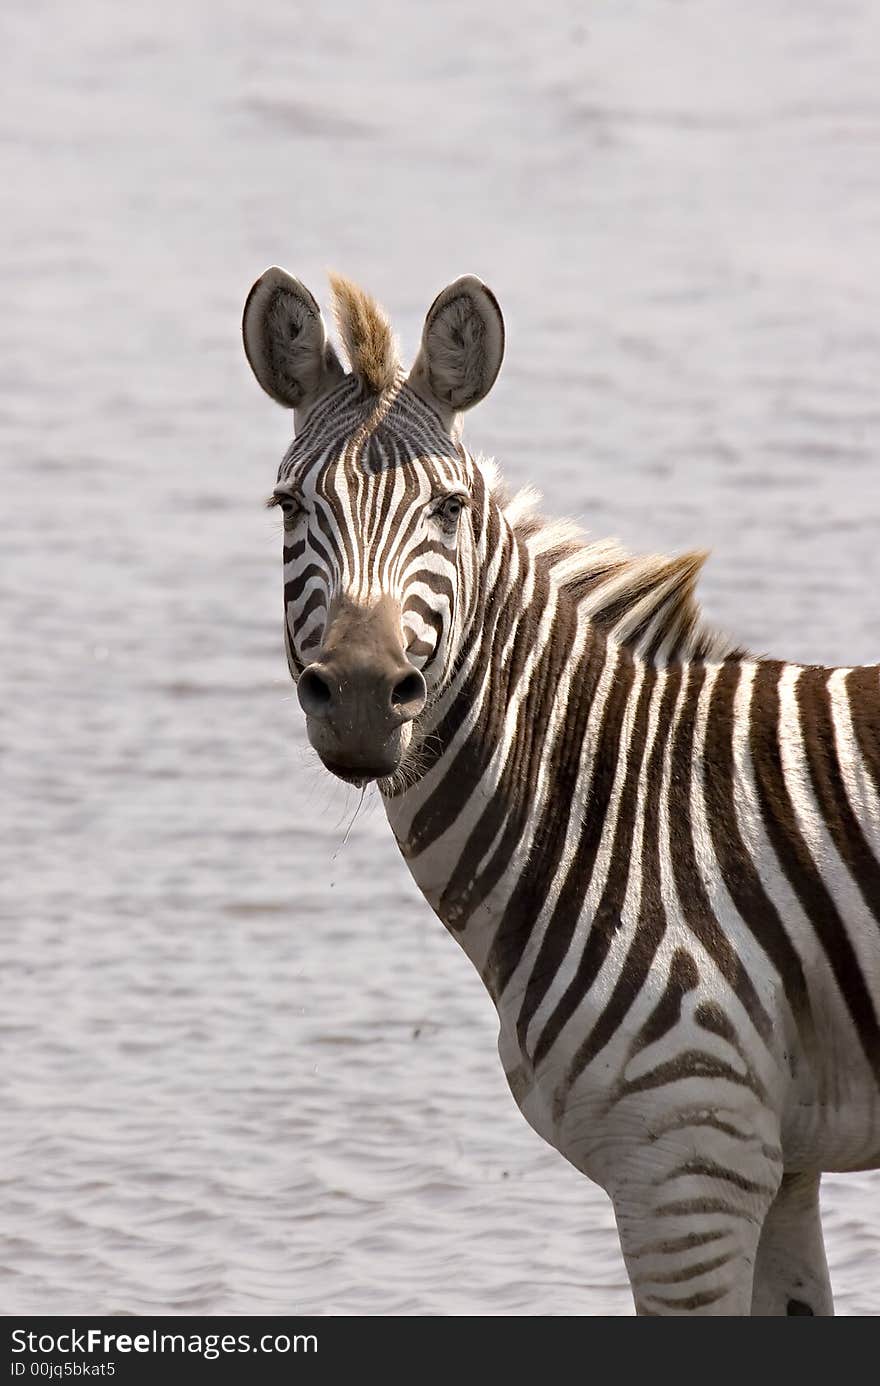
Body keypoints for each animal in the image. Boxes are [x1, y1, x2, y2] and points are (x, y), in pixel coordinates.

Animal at [241, 264, 880, 1313]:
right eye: (290, 508)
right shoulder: (775, 1162)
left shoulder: (684, 1166)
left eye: (450, 509)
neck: (617, 808)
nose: (366, 696)